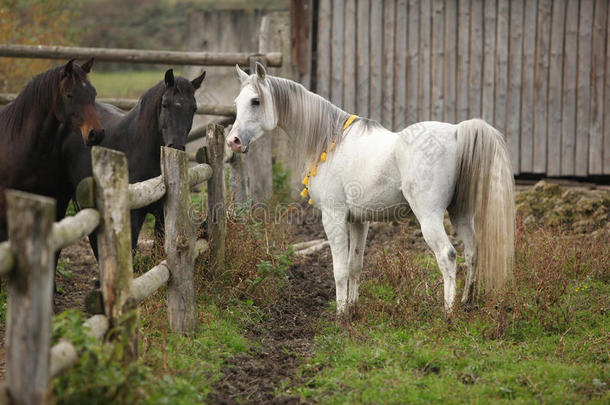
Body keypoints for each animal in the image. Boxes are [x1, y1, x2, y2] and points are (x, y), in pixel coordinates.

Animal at [228, 62, 512, 316]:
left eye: (255, 101)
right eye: (236, 103)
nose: (233, 141)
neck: (328, 141)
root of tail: (456, 132)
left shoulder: (333, 217)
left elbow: (339, 269)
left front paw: (341, 314)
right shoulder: (358, 220)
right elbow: (355, 264)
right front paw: (353, 308)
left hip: (429, 217)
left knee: (448, 255)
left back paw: (448, 312)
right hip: (460, 213)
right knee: (473, 252)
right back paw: (466, 303)